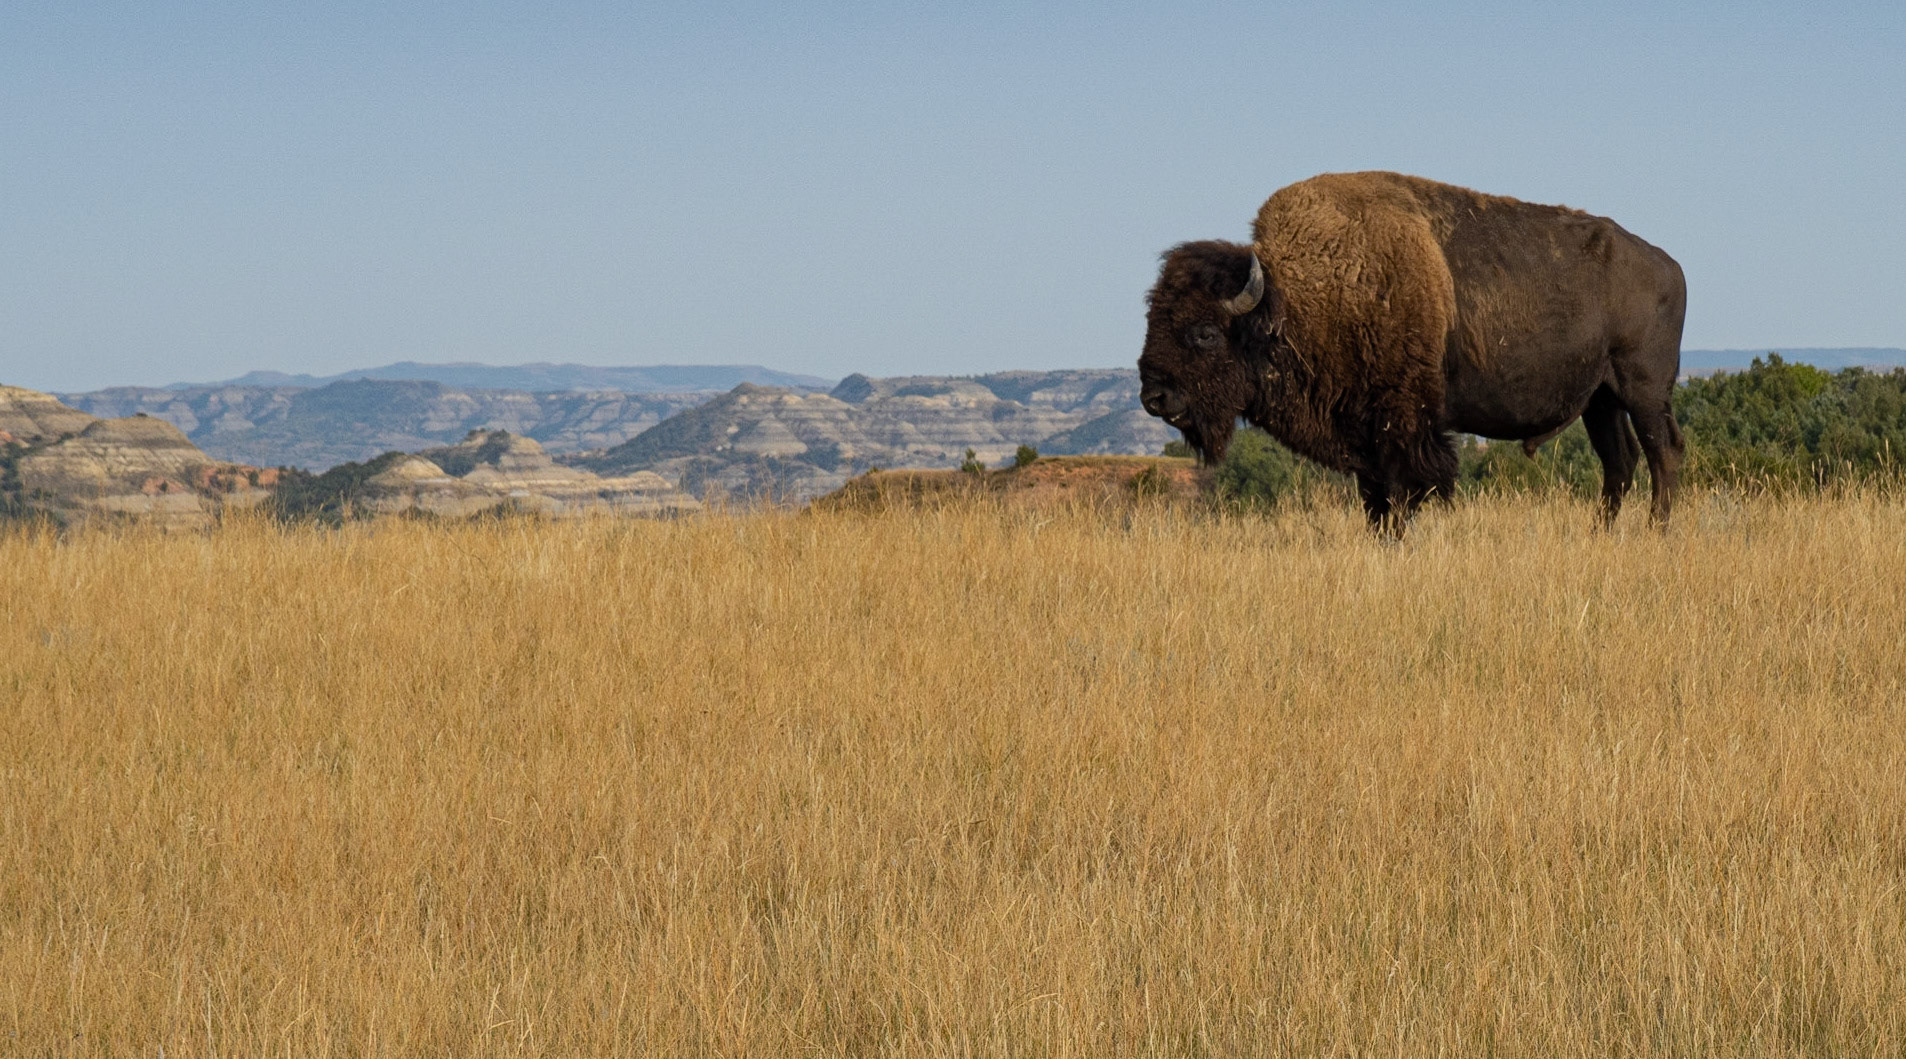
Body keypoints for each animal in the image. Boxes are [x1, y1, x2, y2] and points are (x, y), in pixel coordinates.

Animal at [1140, 171, 1686, 531]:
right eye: (1152, 319)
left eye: (1205, 333)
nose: (1154, 397)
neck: (1296, 299)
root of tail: (1669, 264)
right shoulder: (1365, 438)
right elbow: (1375, 502)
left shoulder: (1403, 428)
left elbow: (1404, 494)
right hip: (1600, 400)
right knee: (1620, 462)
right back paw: (1603, 534)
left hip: (1643, 391)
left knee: (1662, 454)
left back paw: (1655, 532)